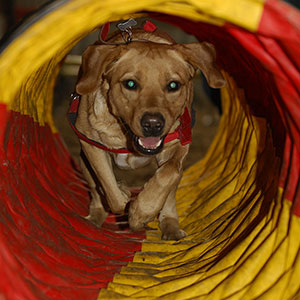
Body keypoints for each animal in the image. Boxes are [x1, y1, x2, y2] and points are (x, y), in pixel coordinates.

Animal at [72, 21, 225, 241]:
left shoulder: (179, 144)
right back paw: (94, 218)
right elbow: (110, 192)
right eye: (130, 83)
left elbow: (167, 174)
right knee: (95, 191)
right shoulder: (90, 144)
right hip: (84, 162)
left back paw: (170, 226)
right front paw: (124, 194)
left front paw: (141, 212)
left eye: (173, 85)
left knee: (170, 194)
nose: (153, 124)